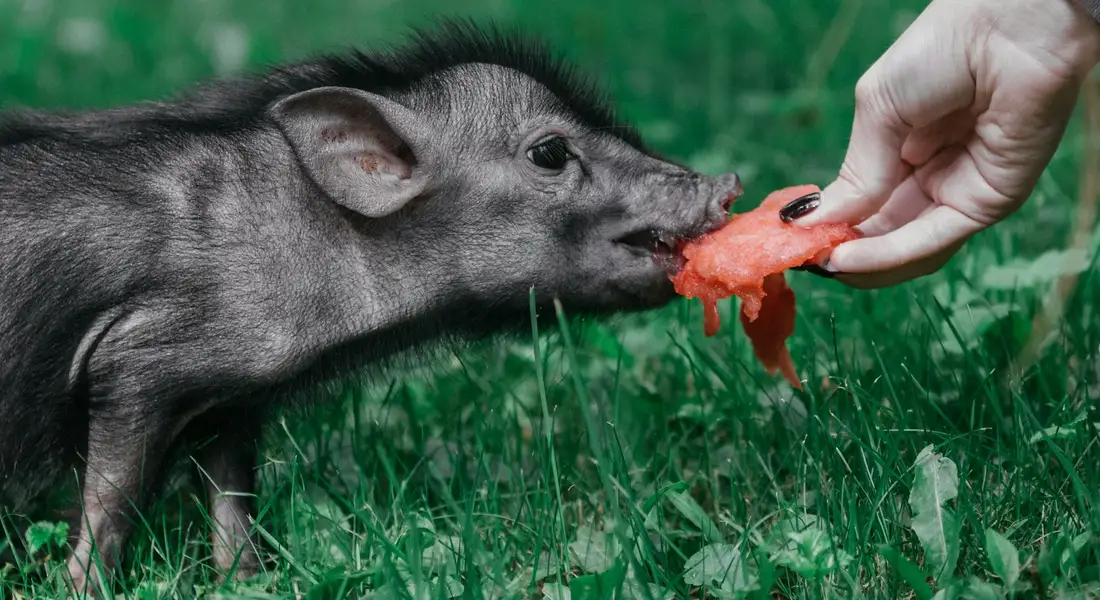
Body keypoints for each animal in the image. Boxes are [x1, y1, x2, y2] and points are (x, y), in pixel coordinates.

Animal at [0, 19, 740, 595]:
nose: (729, 182)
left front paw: (249, 581)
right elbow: (113, 499)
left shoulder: (232, 397)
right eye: (551, 152)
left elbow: (234, 501)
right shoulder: (134, 363)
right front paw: (82, 589)